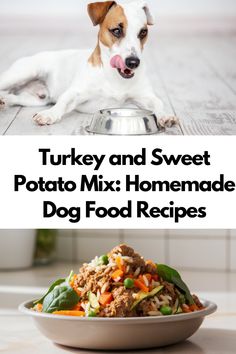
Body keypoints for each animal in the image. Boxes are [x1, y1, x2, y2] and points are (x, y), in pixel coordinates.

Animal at [0, 0, 177, 127]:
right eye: (116, 31)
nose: (133, 62)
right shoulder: (75, 92)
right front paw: (49, 114)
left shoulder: (145, 96)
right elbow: (63, 101)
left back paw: (4, 101)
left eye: (143, 32)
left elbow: (158, 102)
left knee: (14, 97)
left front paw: (165, 115)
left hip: (37, 99)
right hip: (22, 73)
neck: (113, 77)